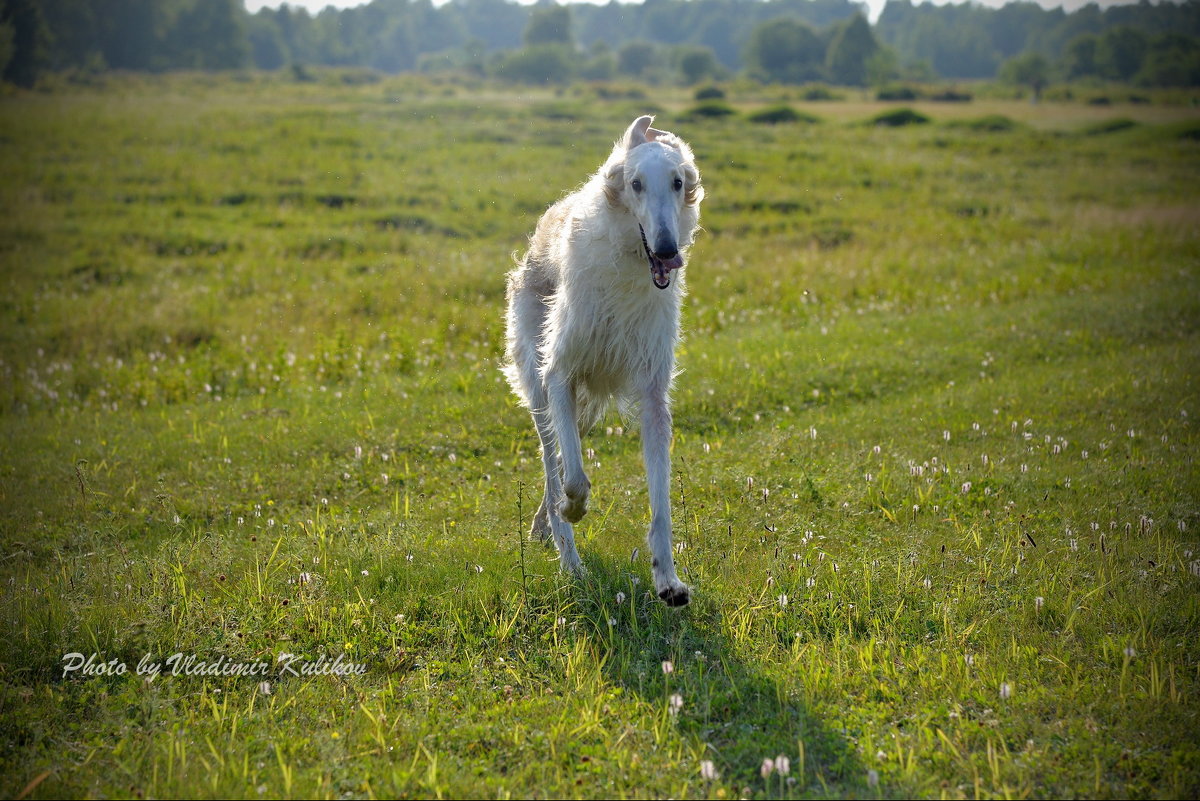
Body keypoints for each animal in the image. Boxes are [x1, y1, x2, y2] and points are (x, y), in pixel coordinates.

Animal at [499, 113, 700, 606]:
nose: (667, 251)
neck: (629, 260)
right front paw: (574, 510)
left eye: (677, 181)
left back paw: (542, 528)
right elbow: (573, 480)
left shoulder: (653, 394)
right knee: (552, 465)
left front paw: (668, 580)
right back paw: (569, 558)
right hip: (542, 394)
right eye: (635, 184)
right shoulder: (559, 374)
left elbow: (661, 506)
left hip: (584, 409)